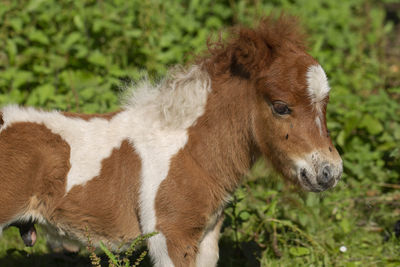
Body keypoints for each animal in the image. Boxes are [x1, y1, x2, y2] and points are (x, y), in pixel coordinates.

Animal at [0, 15, 342, 267]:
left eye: (325, 104)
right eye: (281, 106)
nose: (330, 172)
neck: (191, 151)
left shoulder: (206, 236)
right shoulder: (170, 236)